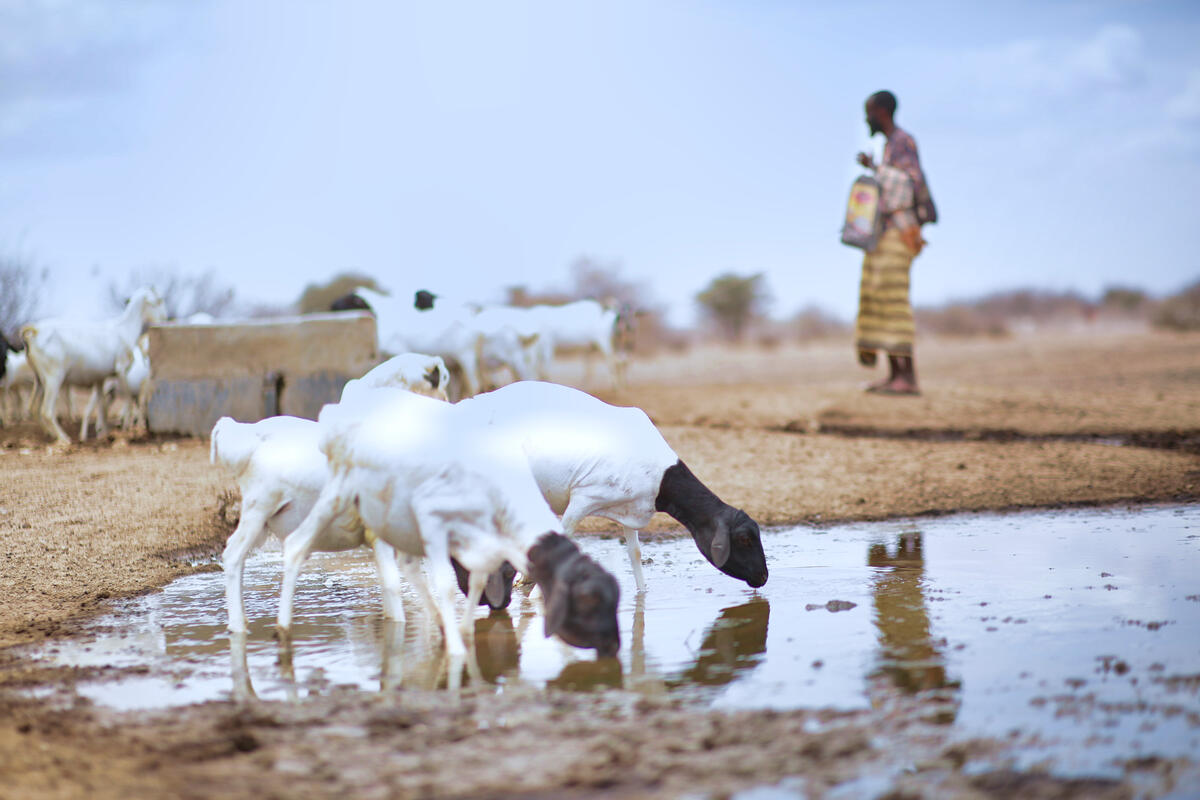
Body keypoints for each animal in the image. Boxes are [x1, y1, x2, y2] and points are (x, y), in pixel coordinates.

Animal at [22, 286, 165, 443]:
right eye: (158, 301)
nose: (164, 319)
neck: (124, 330)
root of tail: (35, 332)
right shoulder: (121, 370)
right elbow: (127, 399)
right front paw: (126, 430)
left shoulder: (100, 379)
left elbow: (103, 407)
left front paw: (103, 433)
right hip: (54, 378)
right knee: (46, 411)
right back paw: (64, 438)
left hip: (39, 379)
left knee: (32, 408)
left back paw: (51, 434)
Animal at [277, 386, 624, 657]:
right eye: (589, 601)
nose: (614, 647)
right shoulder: (433, 520)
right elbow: (446, 584)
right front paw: (458, 651)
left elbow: (476, 578)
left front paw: (464, 633)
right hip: (341, 490)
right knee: (296, 545)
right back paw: (283, 631)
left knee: (404, 567)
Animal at [458, 381, 768, 594]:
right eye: (745, 539)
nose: (764, 576)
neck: (660, 477)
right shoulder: (582, 499)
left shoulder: (631, 508)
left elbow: (635, 553)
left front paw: (642, 594)